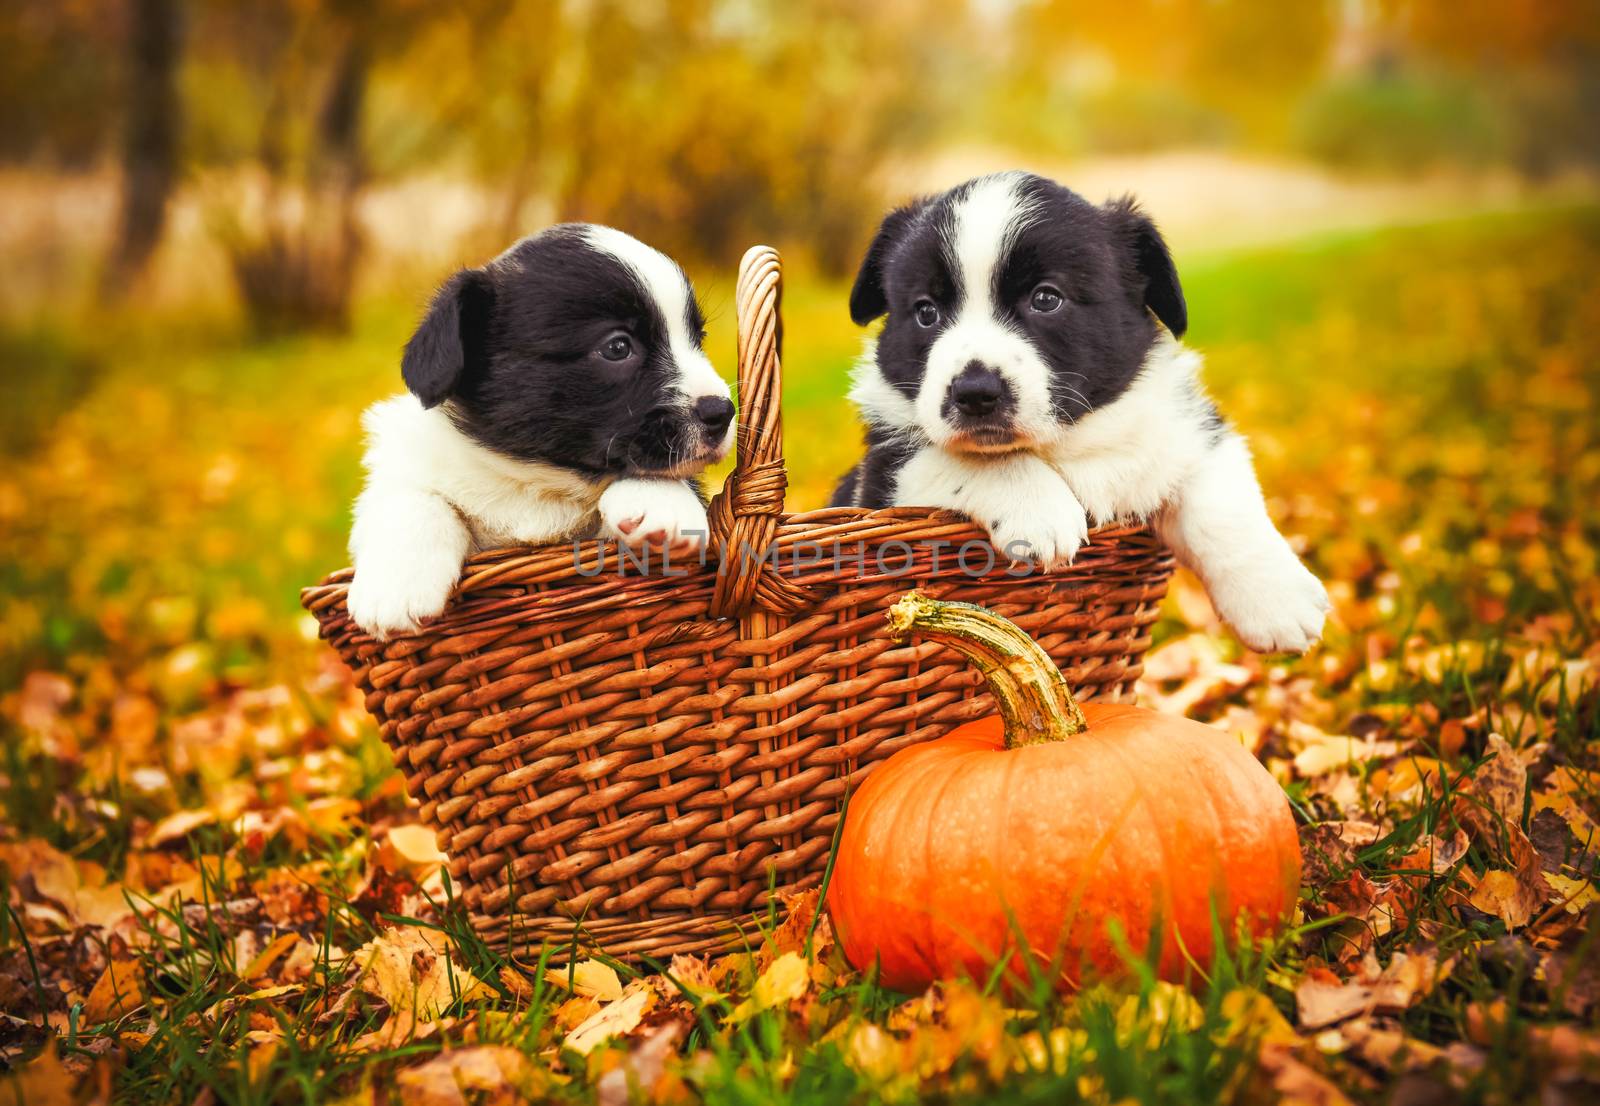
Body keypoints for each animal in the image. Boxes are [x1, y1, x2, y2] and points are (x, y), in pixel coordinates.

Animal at [347, 222, 732, 640]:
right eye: (617, 347)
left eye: (698, 339)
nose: (723, 411)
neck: (539, 483)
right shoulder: (403, 461)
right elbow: (414, 498)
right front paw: (397, 585)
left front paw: (662, 504)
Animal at [832, 172, 1331, 653]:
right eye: (925, 312)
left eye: (1046, 298)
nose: (974, 393)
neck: (1068, 443)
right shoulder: (879, 479)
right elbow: (957, 456)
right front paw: (1038, 510)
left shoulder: (1184, 434)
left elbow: (1221, 503)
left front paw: (1277, 601)